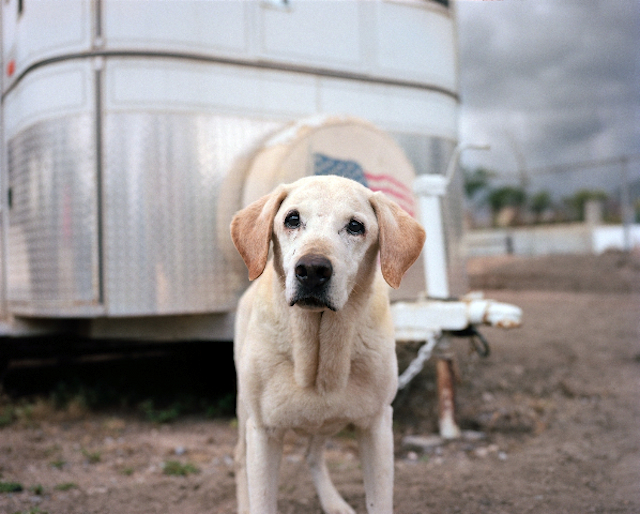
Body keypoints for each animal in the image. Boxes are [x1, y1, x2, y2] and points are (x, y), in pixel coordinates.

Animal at [230, 174, 424, 510]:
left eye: (356, 226)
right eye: (292, 219)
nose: (311, 270)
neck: (319, 353)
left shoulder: (376, 426)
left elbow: (379, 502)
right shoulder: (264, 431)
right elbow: (262, 500)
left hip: (324, 421)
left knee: (312, 454)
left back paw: (334, 504)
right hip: (246, 413)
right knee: (241, 460)